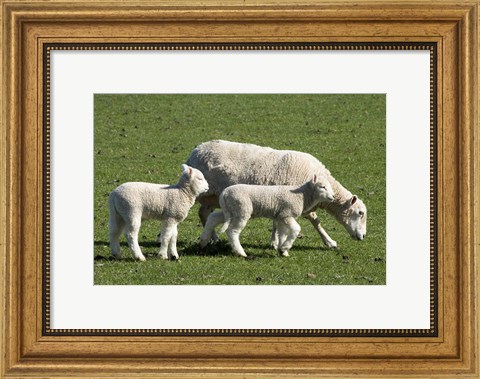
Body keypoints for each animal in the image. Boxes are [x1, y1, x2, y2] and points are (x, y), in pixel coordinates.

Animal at [187, 140, 368, 249]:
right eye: (360, 213)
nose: (363, 236)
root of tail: (196, 150)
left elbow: (278, 221)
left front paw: (275, 241)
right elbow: (316, 221)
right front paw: (329, 241)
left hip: (212, 197)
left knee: (204, 213)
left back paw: (213, 238)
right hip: (204, 192)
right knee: (201, 212)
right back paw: (213, 238)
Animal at [199, 176, 334, 258]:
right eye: (322, 186)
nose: (332, 197)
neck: (302, 195)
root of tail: (224, 193)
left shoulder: (281, 216)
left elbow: (282, 233)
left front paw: (282, 250)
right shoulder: (287, 213)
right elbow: (296, 229)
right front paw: (285, 246)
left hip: (231, 210)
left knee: (213, 218)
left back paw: (203, 240)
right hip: (241, 209)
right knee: (232, 231)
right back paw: (240, 252)